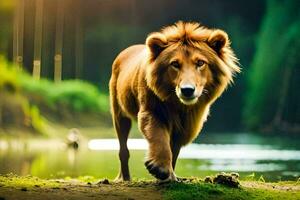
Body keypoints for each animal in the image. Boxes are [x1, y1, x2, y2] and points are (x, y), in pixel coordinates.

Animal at [109, 21, 240, 182]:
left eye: (200, 63)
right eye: (175, 64)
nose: (187, 90)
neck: (179, 105)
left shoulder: (188, 124)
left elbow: (174, 151)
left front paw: (170, 176)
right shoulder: (151, 110)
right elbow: (159, 137)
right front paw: (159, 168)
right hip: (119, 113)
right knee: (123, 149)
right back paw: (125, 177)